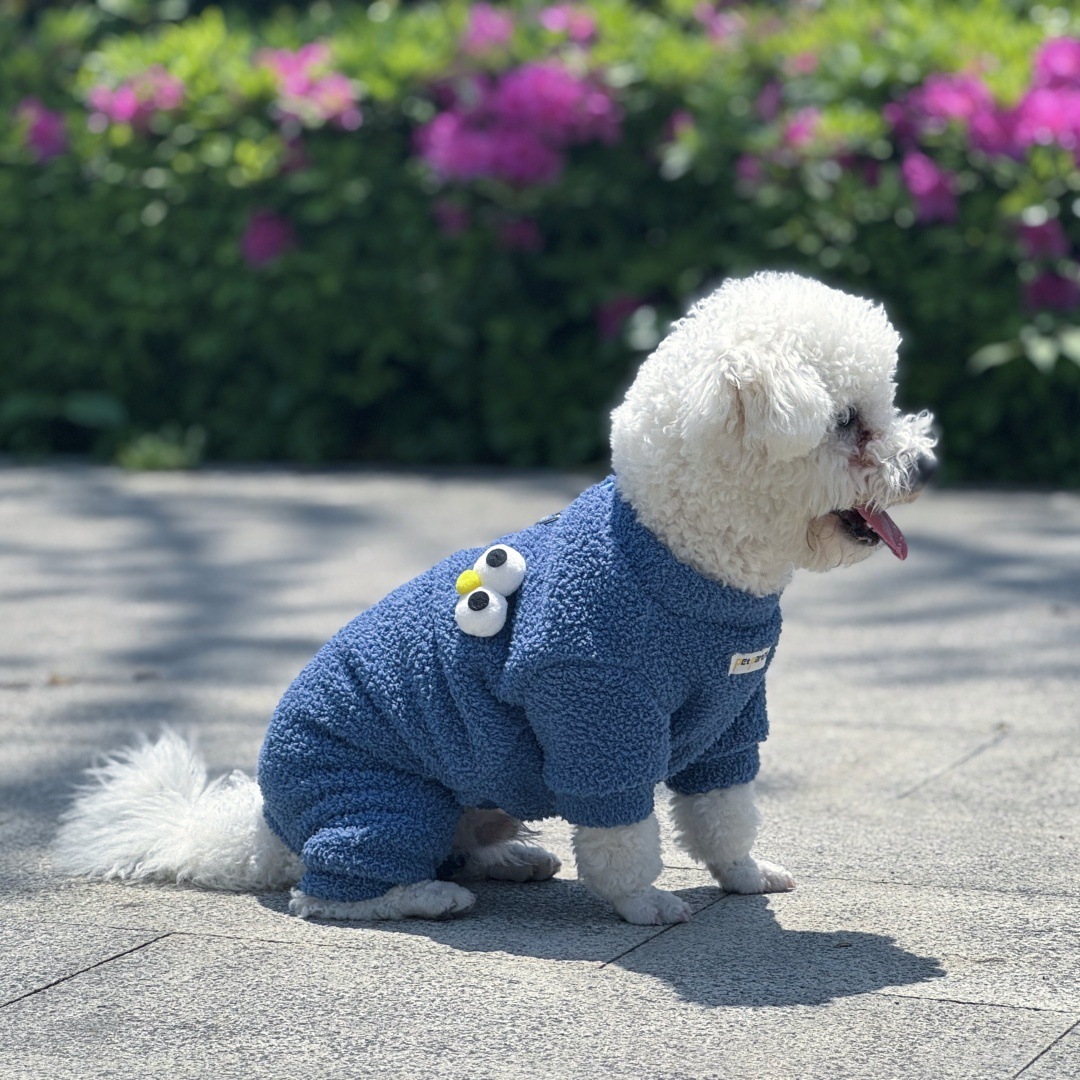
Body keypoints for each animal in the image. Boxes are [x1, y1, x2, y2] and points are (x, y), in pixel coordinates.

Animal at [55, 271, 935, 925]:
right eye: (847, 421)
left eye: (882, 407)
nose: (924, 465)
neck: (683, 554)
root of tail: (265, 825)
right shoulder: (595, 708)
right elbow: (623, 831)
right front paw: (642, 903)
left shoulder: (731, 714)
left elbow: (726, 806)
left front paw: (744, 874)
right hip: (381, 796)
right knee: (330, 890)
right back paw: (422, 895)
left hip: (472, 790)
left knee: (450, 842)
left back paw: (508, 856)